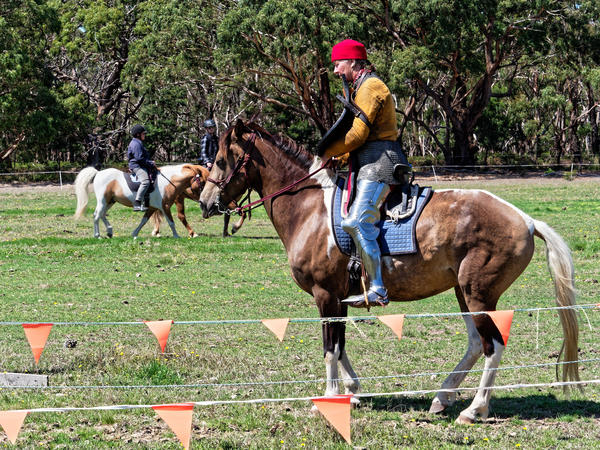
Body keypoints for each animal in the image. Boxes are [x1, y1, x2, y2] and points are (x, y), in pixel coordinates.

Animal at [199, 119, 580, 422]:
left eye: (220, 160)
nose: (204, 202)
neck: (310, 210)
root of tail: (525, 220)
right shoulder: (340, 299)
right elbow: (340, 345)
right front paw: (351, 389)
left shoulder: (326, 296)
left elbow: (330, 348)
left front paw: (330, 396)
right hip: (464, 293)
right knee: (476, 343)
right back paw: (443, 397)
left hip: (477, 294)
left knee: (493, 346)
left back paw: (474, 409)